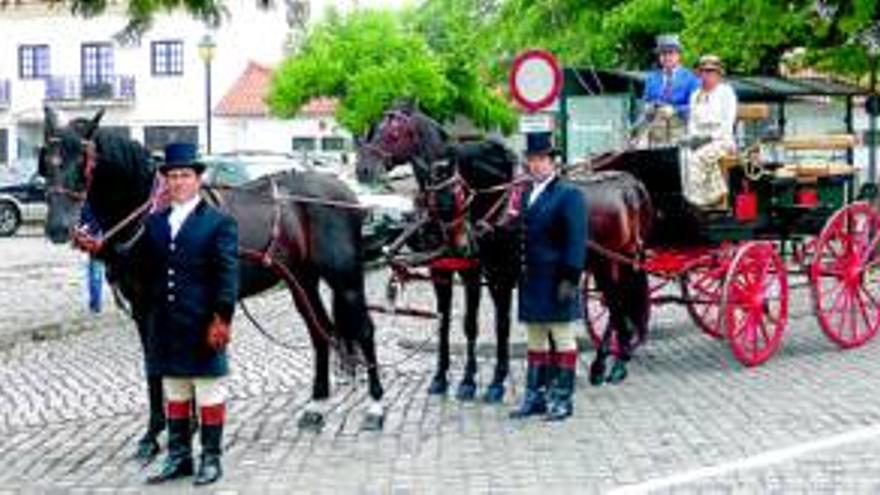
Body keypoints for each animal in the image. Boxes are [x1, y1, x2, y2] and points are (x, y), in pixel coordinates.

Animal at [41, 107, 384, 450]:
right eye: (46, 161)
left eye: (83, 161)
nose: (58, 228)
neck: (148, 216)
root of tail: (346, 194)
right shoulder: (143, 309)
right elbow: (155, 365)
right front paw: (156, 433)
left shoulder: (161, 305)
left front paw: (182, 429)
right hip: (302, 280)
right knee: (319, 331)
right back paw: (317, 406)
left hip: (345, 279)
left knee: (364, 330)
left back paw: (375, 407)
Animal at [356, 105, 652, 396]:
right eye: (373, 129)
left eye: (393, 133)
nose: (362, 170)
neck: (497, 200)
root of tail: (627, 184)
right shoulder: (444, 270)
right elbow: (445, 322)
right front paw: (442, 378)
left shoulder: (489, 273)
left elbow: (488, 323)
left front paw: (484, 381)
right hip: (609, 262)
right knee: (617, 302)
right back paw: (614, 360)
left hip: (607, 260)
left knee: (616, 301)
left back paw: (608, 365)